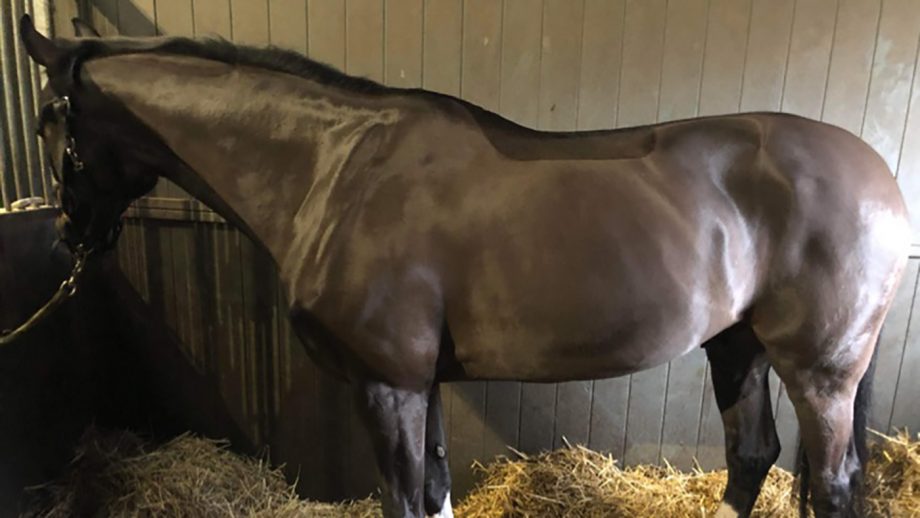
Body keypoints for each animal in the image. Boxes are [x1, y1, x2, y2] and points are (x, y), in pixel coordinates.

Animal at [19, 15, 910, 518]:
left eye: (45, 123)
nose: (65, 237)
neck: (334, 168)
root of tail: (880, 176)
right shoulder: (423, 383)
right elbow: (435, 492)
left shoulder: (387, 386)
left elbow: (406, 501)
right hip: (737, 344)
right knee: (753, 456)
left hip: (820, 373)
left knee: (830, 484)